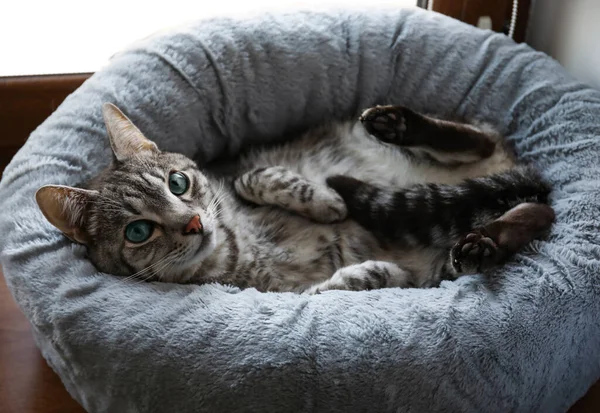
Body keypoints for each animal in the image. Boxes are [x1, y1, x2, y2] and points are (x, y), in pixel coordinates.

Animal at [36, 101, 552, 292]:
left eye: (177, 184)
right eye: (139, 231)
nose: (194, 223)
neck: (236, 250)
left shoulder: (236, 172)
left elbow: (258, 177)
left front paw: (326, 202)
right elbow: (333, 288)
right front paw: (370, 273)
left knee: (475, 141)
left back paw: (398, 123)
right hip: (451, 256)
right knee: (535, 214)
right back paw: (486, 242)